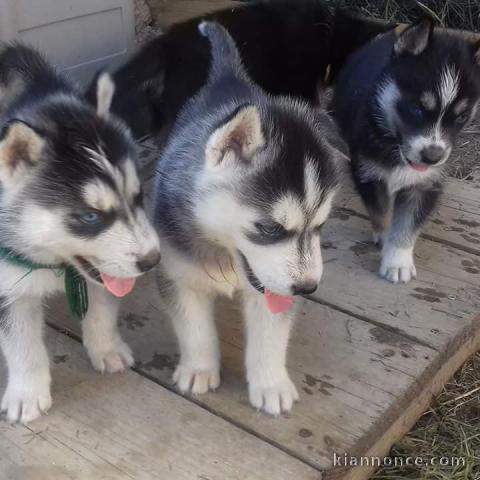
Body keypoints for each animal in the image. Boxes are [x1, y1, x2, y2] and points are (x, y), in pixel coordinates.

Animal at [0, 43, 161, 422]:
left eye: (138, 198)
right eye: (90, 216)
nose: (152, 260)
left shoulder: (103, 271)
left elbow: (103, 309)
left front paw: (106, 348)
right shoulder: (7, 284)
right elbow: (21, 343)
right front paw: (27, 394)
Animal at [154, 21, 344, 412]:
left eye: (320, 226)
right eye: (270, 228)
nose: (308, 288)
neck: (225, 253)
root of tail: (231, 79)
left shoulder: (273, 289)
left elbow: (270, 338)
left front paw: (270, 384)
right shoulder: (178, 276)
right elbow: (194, 329)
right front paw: (199, 368)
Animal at [332, 20, 480, 284]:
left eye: (461, 117)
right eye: (416, 108)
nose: (432, 157)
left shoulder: (425, 184)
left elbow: (407, 224)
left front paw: (397, 260)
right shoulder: (368, 173)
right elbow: (381, 211)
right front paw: (385, 238)